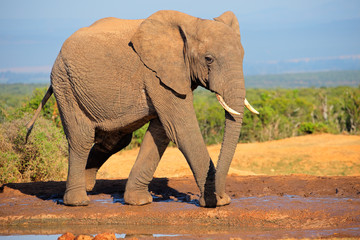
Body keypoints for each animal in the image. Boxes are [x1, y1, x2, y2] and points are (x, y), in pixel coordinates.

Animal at [27, 10, 258, 207]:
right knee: (81, 138)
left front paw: (139, 202)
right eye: (208, 59)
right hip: (65, 84)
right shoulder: (156, 73)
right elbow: (181, 128)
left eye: (243, 56)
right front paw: (217, 203)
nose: (222, 195)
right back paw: (78, 201)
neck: (192, 22)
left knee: (114, 140)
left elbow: (161, 132)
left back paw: (88, 186)